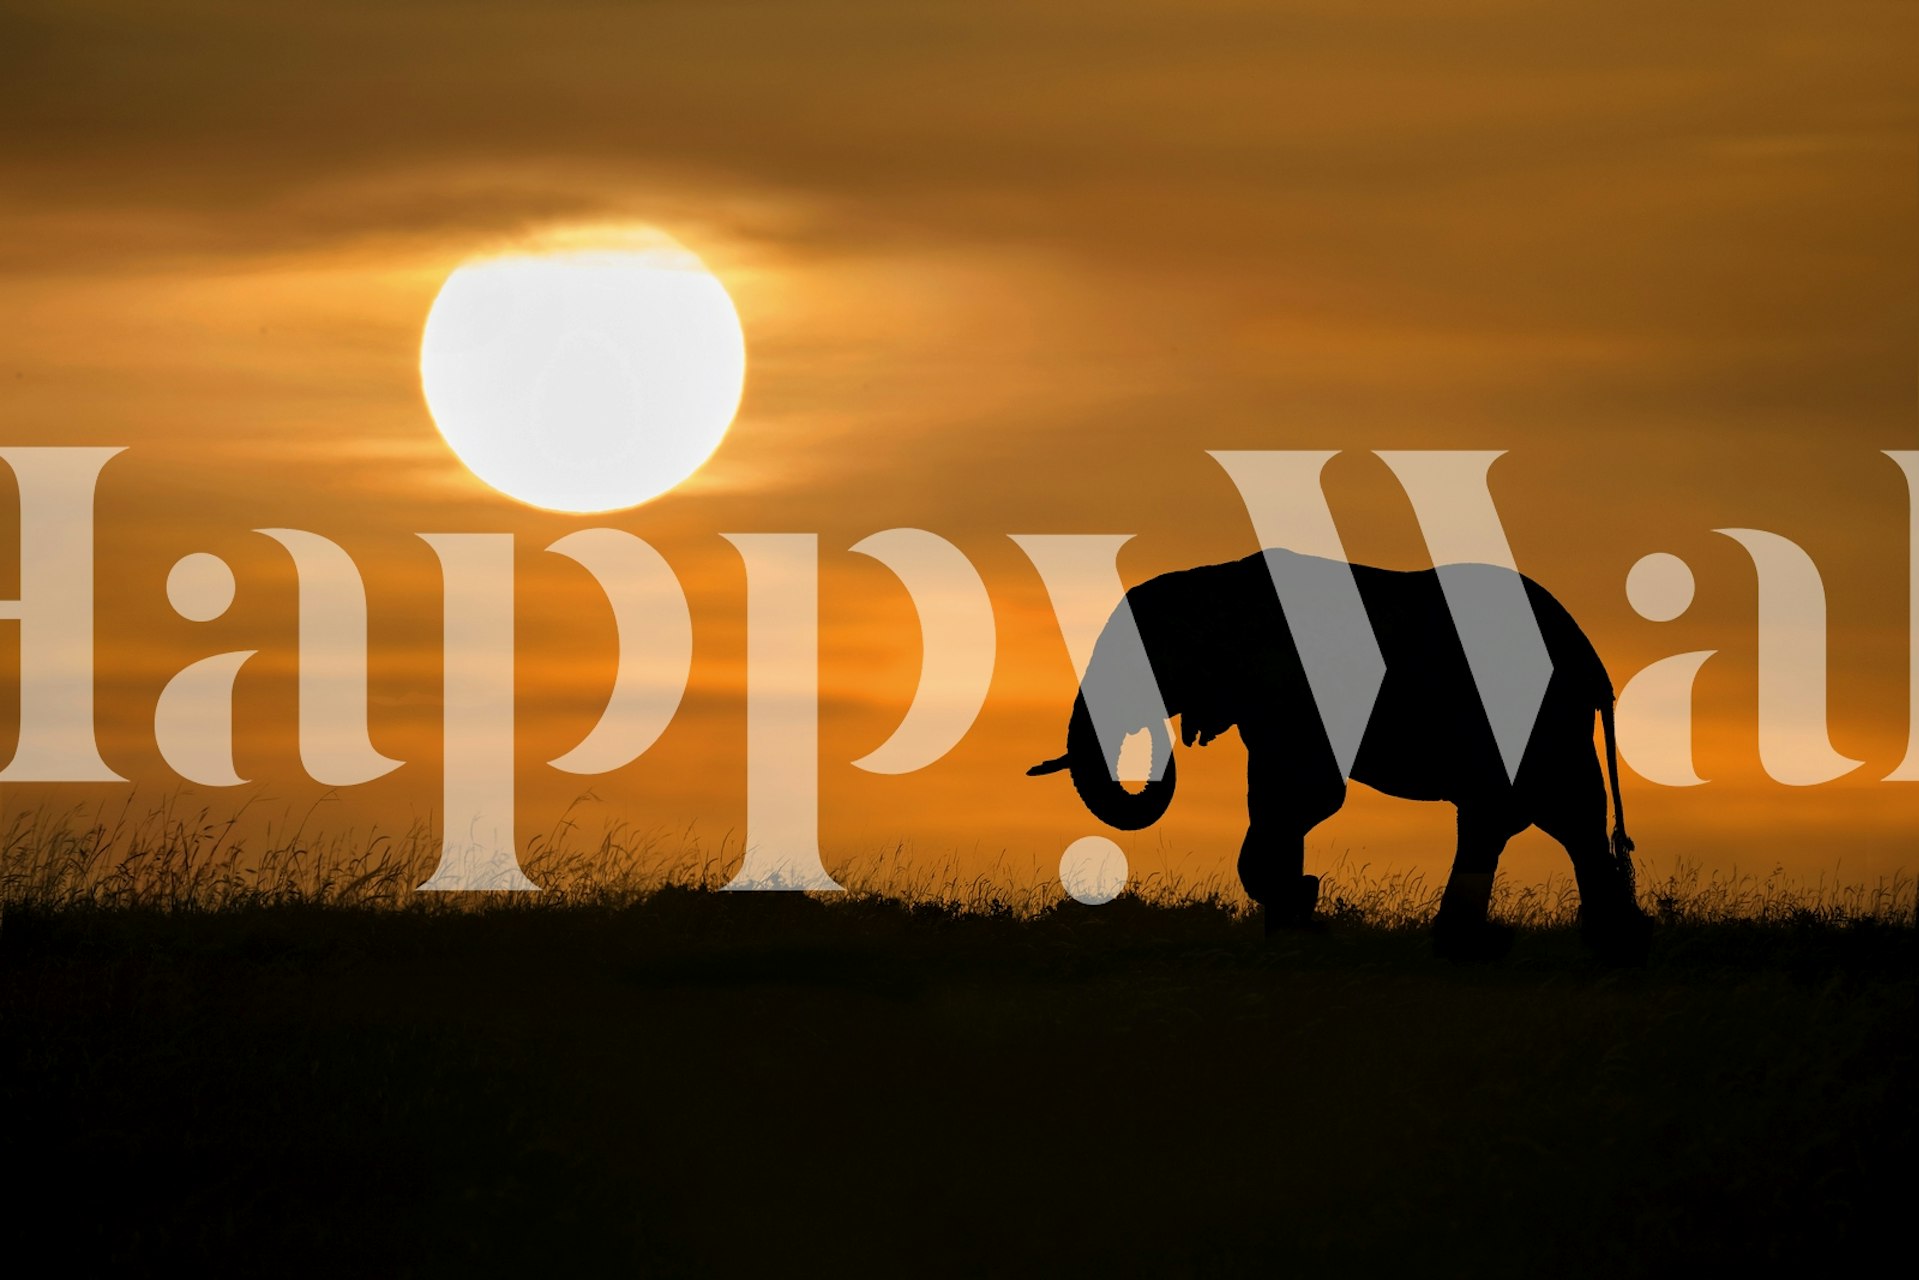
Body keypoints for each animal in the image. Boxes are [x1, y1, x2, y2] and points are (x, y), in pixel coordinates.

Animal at [1028, 548, 1653, 963]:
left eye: (1143, 663)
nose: (1158, 739)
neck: (1218, 583)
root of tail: (1592, 658)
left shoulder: (1295, 692)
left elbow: (1303, 793)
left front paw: (1304, 911)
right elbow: (1276, 794)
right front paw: (1294, 919)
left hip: (1542, 713)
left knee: (1553, 812)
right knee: (1521, 817)